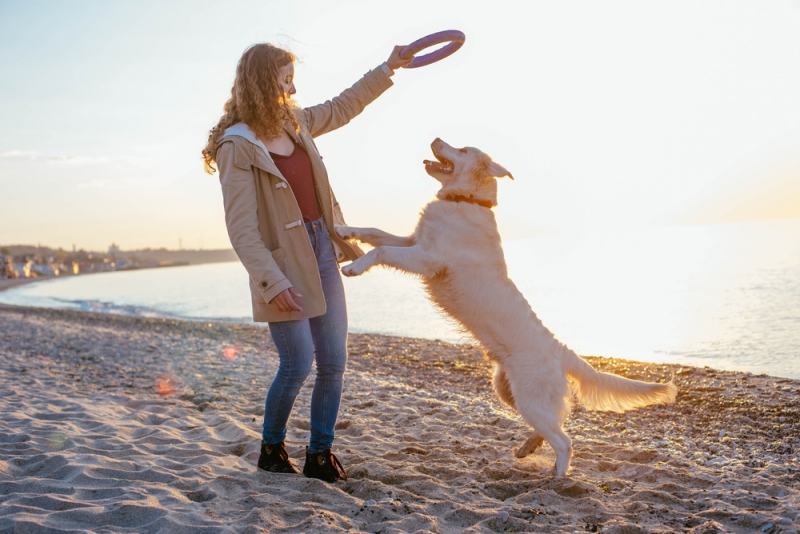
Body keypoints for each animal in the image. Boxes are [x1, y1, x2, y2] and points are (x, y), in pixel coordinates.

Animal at [334, 139, 680, 478]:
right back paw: (528, 449)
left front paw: (354, 266)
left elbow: (380, 250)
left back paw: (557, 477)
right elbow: (376, 233)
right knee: (555, 426)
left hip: (529, 398)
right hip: (509, 390)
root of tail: (561, 351)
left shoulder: (428, 257)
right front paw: (344, 230)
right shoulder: (413, 241)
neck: (467, 201)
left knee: (565, 441)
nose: (435, 138)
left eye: (462, 149)